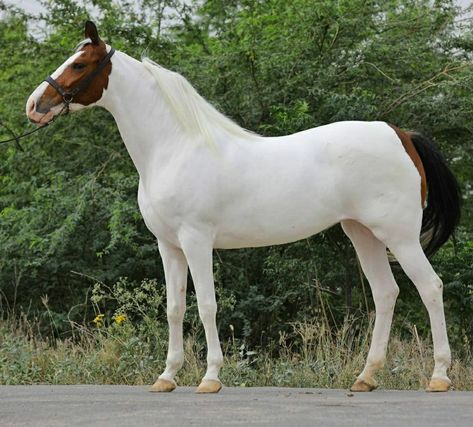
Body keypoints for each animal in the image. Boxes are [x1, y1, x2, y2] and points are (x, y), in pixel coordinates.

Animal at [26, 20, 460, 394]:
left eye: (79, 64)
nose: (34, 105)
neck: (174, 147)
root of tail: (399, 134)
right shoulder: (169, 245)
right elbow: (174, 308)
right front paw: (167, 376)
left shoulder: (196, 240)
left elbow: (206, 306)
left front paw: (210, 377)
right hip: (363, 233)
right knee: (386, 293)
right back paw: (366, 377)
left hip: (399, 236)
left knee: (430, 287)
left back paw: (439, 376)